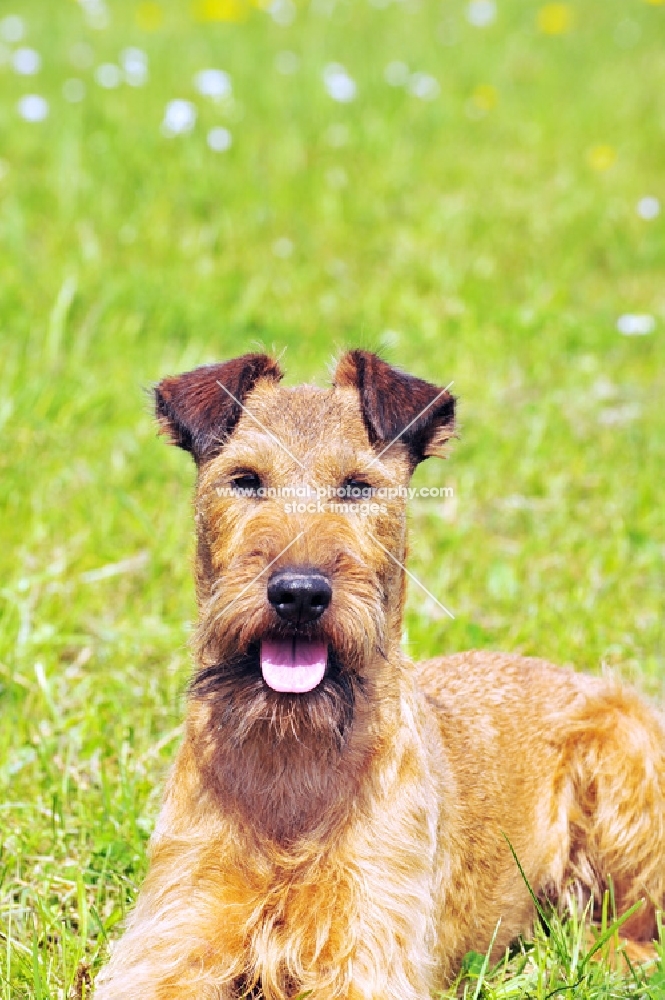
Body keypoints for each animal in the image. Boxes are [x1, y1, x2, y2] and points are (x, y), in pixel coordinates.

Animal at [94, 352, 664, 1000]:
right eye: (245, 479)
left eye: (357, 486)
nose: (299, 593)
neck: (292, 760)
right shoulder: (172, 937)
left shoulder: (366, 953)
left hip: (625, 758)